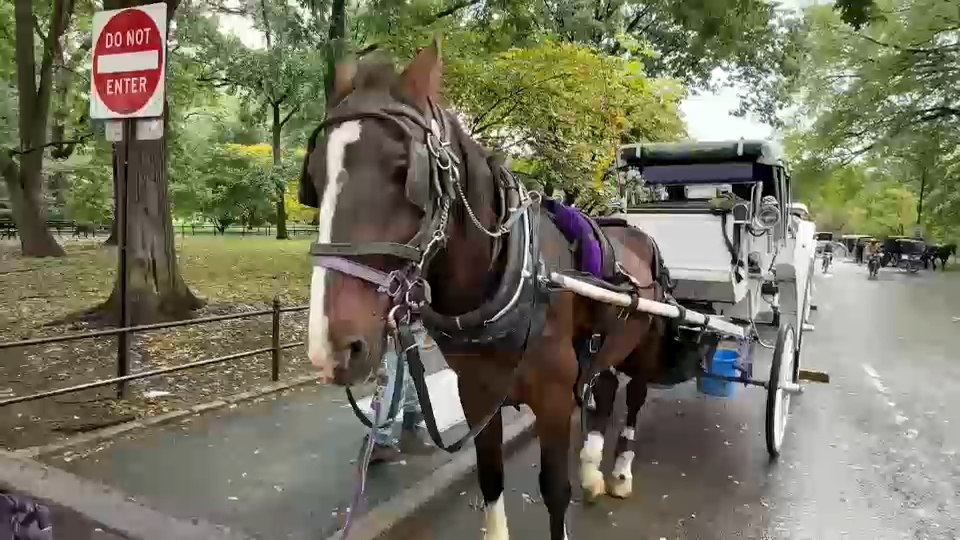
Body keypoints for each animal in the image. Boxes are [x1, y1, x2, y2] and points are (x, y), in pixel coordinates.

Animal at [298, 42, 674, 539]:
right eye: (314, 179)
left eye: (405, 171)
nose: (332, 348)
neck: (516, 278)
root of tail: (633, 230)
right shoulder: (476, 394)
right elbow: (491, 475)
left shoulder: (554, 399)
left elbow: (554, 489)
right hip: (607, 347)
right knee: (607, 388)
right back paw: (593, 471)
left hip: (646, 346)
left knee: (633, 402)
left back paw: (621, 473)